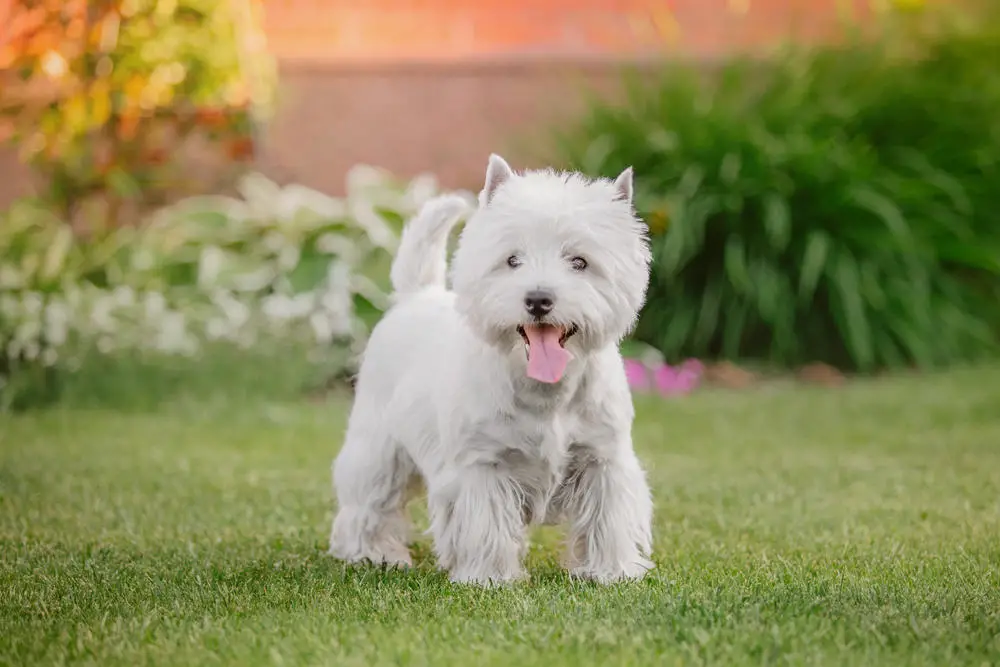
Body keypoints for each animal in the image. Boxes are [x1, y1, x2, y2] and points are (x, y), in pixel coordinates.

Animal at [330, 155, 656, 584]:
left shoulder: (603, 459)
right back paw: (372, 553)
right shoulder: (481, 464)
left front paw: (612, 571)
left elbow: (608, 518)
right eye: (512, 260)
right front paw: (488, 577)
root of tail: (417, 295)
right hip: (379, 445)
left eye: (580, 262)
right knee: (369, 501)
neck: (546, 392)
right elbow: (486, 523)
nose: (538, 299)